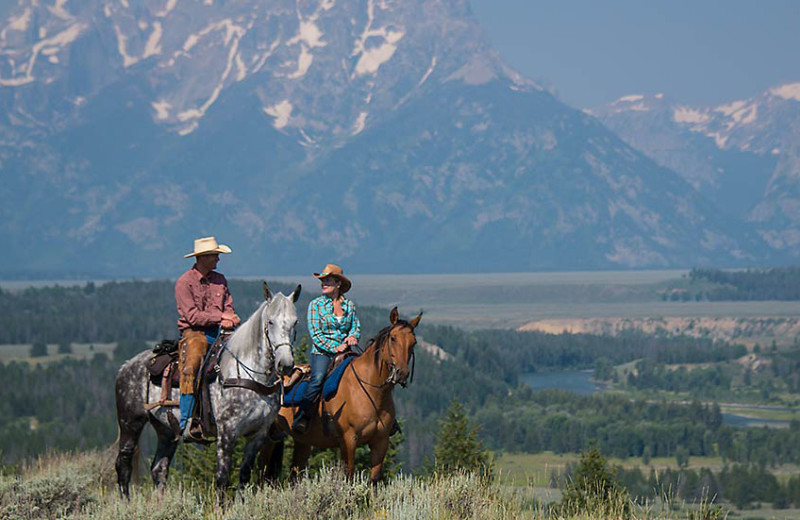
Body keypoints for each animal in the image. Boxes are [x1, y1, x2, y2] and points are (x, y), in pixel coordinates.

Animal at [113, 280, 300, 496]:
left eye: (295, 322)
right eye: (270, 322)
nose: (285, 364)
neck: (251, 376)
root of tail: (126, 366)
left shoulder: (258, 435)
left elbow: (244, 477)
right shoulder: (227, 432)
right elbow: (222, 479)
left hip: (165, 430)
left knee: (159, 469)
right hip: (130, 424)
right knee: (123, 465)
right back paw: (125, 501)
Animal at [262, 306, 424, 486]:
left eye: (413, 342)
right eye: (393, 338)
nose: (401, 373)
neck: (372, 392)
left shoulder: (381, 442)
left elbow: (374, 480)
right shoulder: (348, 440)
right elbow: (349, 477)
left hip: (302, 441)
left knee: (295, 473)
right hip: (267, 438)